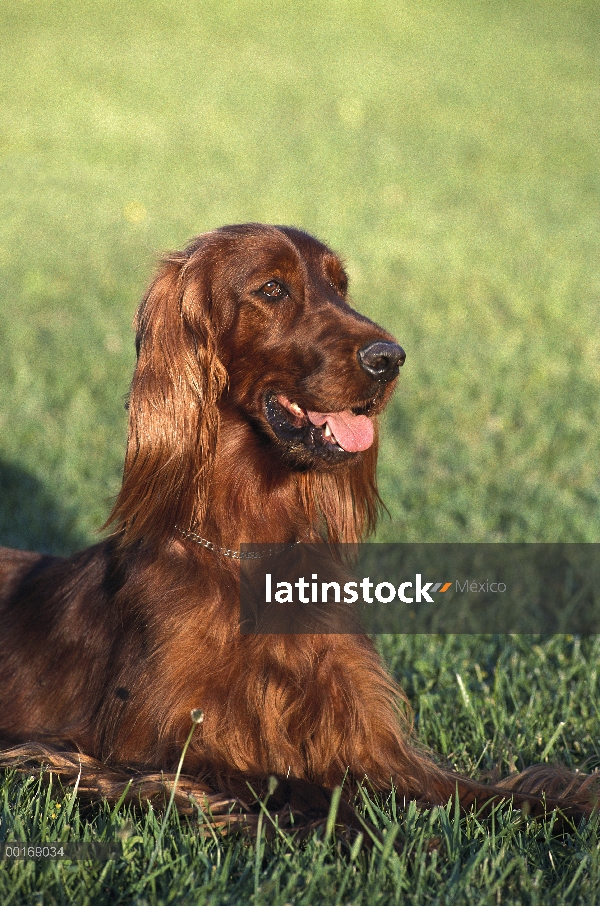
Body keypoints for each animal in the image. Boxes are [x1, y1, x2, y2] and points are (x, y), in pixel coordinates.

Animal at [0, 226, 596, 832]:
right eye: (272, 288)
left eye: (340, 285)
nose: (390, 358)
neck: (250, 554)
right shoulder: (151, 744)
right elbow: (297, 787)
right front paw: (375, 837)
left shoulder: (367, 740)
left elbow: (475, 789)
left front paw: (564, 801)